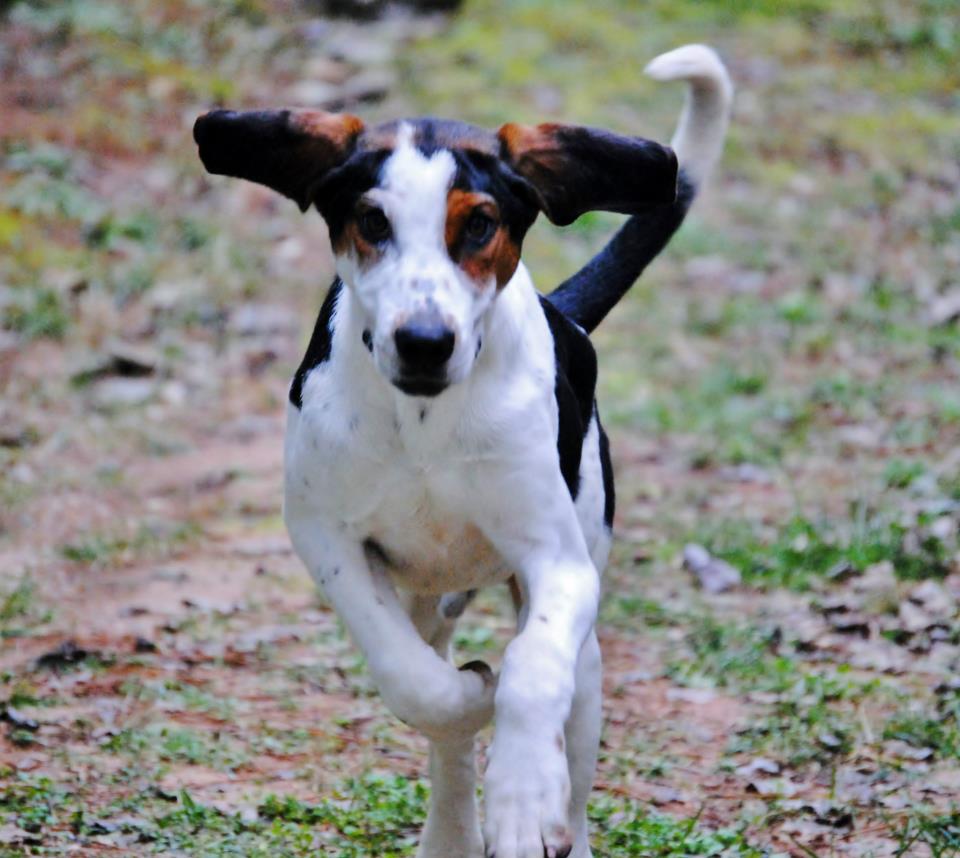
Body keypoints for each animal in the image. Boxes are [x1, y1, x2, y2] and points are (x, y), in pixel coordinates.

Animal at [197, 45, 736, 856]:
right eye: (371, 221)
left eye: (480, 225)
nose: (425, 342)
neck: (424, 419)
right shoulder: (326, 538)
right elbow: (416, 682)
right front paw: (472, 696)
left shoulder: (559, 564)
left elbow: (532, 672)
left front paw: (522, 795)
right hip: (428, 600)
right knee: (439, 715)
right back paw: (452, 821)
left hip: (586, 636)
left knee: (574, 740)